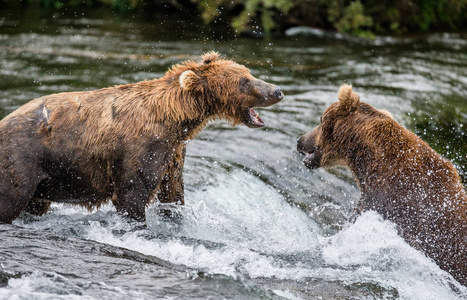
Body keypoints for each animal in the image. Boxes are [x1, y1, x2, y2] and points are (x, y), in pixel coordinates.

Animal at [0, 51, 284, 224]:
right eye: (244, 81)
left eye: (248, 73)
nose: (277, 91)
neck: (176, 119)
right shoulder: (142, 147)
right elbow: (132, 193)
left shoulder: (173, 152)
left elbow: (173, 192)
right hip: (23, 160)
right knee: (11, 200)